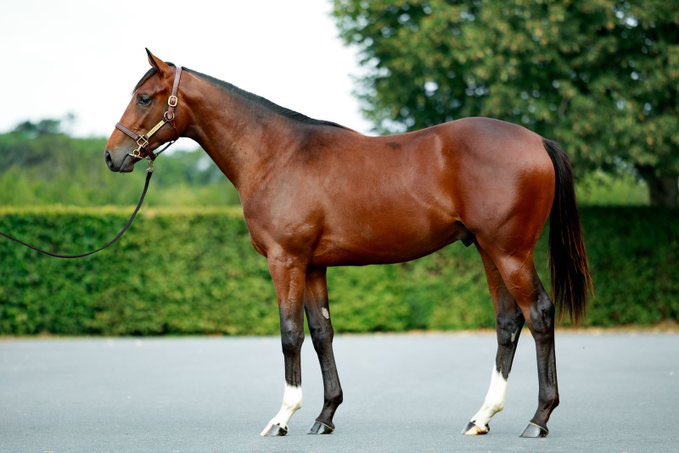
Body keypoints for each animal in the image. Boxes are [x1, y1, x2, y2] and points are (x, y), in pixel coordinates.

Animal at [105, 50, 592, 438]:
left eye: (144, 98)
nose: (113, 156)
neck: (275, 154)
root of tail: (537, 141)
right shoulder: (313, 266)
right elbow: (322, 334)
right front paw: (325, 416)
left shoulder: (286, 261)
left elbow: (290, 334)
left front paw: (283, 418)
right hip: (491, 252)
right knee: (508, 323)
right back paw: (482, 417)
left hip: (511, 253)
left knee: (539, 314)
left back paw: (538, 419)